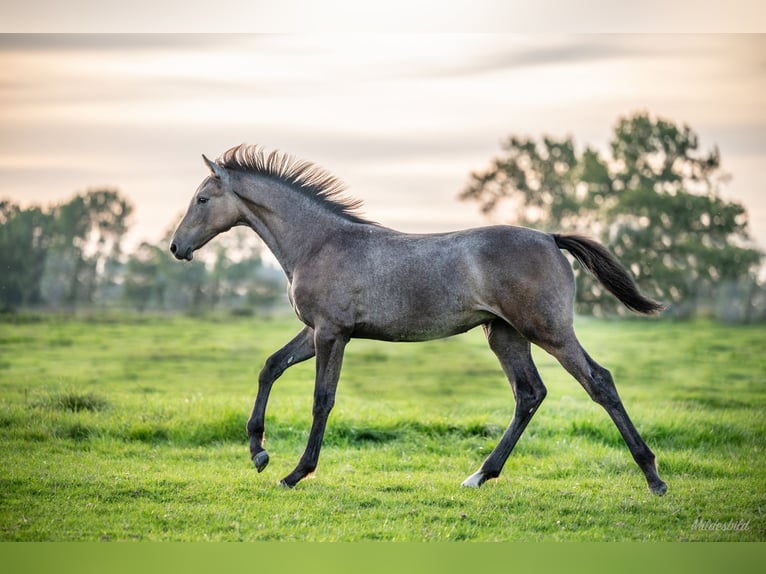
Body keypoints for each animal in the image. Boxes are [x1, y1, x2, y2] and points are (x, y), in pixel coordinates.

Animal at [171, 144, 668, 496]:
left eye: (202, 198)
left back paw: (653, 477)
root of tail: (550, 237)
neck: (320, 242)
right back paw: (479, 475)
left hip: (549, 330)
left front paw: (296, 472)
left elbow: (321, 400)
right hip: (504, 334)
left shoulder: (332, 334)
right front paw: (258, 452)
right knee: (529, 393)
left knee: (598, 382)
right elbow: (270, 367)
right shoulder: (316, 331)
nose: (177, 247)